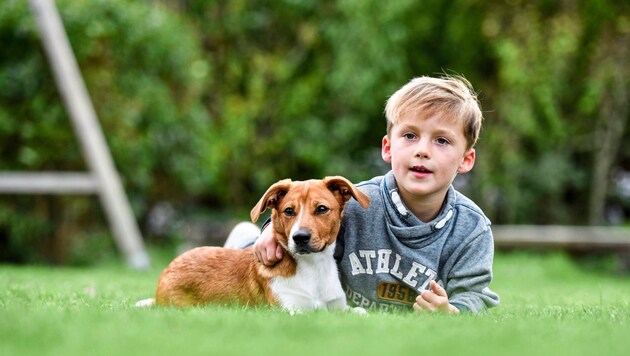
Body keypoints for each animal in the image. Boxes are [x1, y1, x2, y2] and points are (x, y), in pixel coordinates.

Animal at [135, 177, 370, 312]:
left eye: (321, 209)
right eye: (289, 211)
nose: (300, 237)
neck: (313, 268)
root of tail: (168, 269)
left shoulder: (337, 309)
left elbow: (359, 312)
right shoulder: (290, 310)